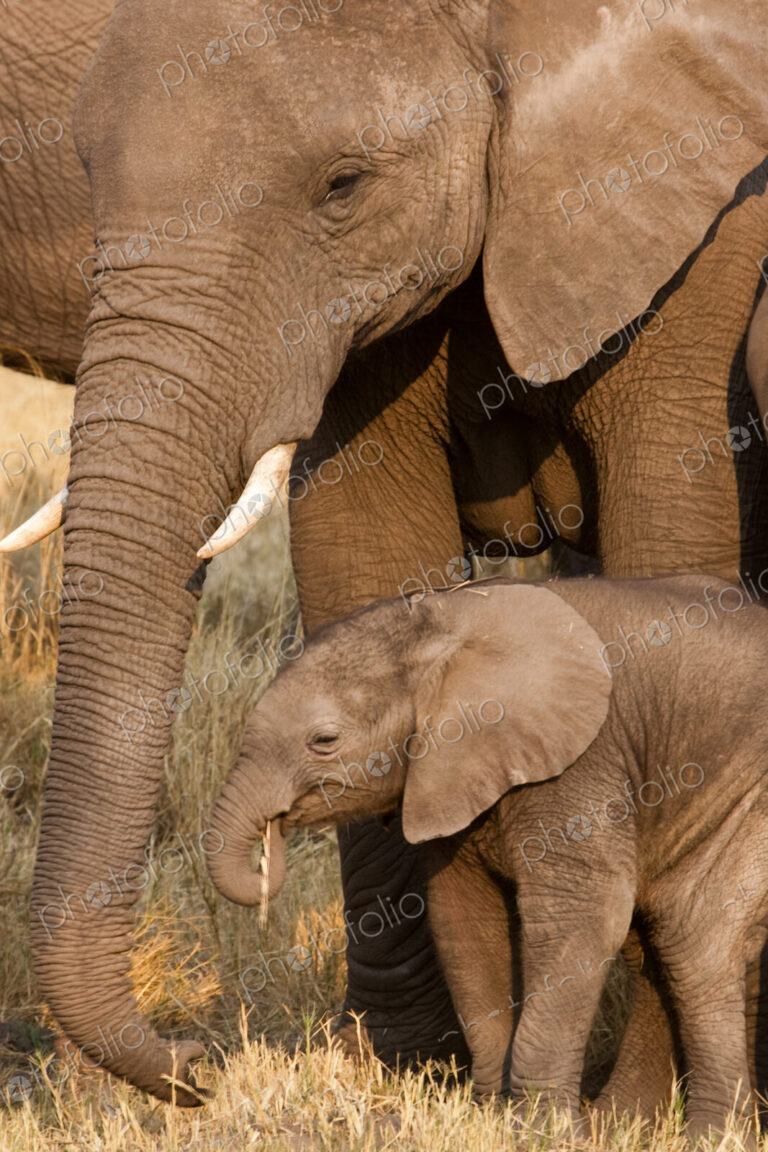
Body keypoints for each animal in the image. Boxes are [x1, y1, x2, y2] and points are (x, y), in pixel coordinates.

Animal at [208, 574, 768, 1140]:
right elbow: (462, 919)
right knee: (665, 941)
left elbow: (582, 917)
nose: (270, 845)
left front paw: (541, 1131)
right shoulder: (451, 770)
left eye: (324, 740)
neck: (449, 616)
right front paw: (491, 1114)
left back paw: (711, 1138)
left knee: (695, 936)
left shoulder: (582, 762)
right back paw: (627, 1124)